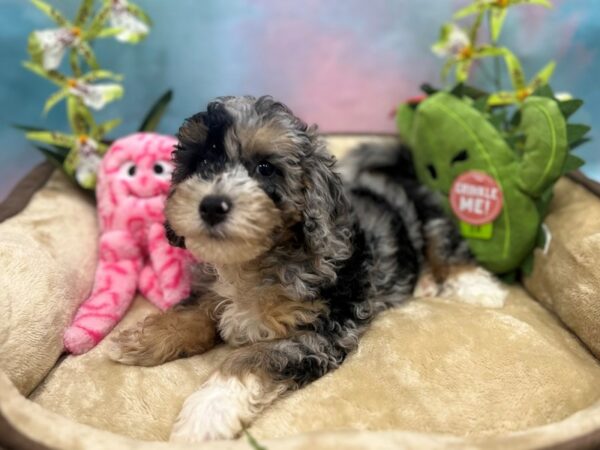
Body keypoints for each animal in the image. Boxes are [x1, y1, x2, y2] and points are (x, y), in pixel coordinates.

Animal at [109, 96, 506, 442]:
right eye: (200, 163)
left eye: (265, 168)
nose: (211, 205)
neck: (256, 262)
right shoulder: (213, 290)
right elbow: (193, 313)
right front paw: (139, 339)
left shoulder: (320, 332)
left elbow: (251, 358)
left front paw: (206, 414)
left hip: (432, 217)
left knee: (447, 248)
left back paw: (479, 290)